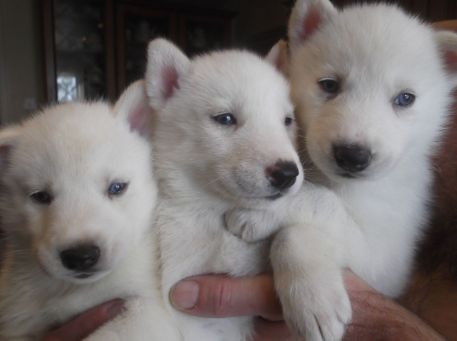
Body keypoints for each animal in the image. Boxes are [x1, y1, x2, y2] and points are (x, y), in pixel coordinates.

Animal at [0, 81, 179, 338]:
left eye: (117, 187)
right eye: (40, 196)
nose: (81, 256)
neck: (75, 289)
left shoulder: (149, 311)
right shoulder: (18, 320)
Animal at [226, 1, 456, 338]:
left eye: (405, 98)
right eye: (329, 85)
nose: (352, 155)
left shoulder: (384, 261)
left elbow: (318, 210)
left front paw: (313, 302)